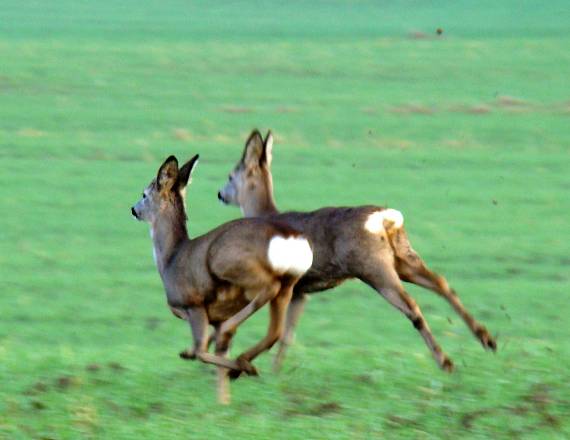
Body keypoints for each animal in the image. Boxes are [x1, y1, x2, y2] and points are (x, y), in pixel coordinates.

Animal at [131, 154, 312, 402]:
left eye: (144, 194)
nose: (133, 209)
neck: (170, 259)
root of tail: (290, 237)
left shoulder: (194, 304)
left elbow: (202, 351)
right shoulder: (212, 315)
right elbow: (216, 361)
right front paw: (223, 402)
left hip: (228, 264)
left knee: (267, 289)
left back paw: (239, 356)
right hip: (290, 282)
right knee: (275, 330)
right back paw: (241, 359)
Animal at [215, 130, 494, 372]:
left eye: (230, 176)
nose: (220, 194)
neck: (265, 213)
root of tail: (385, 218)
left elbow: (280, 331)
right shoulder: (301, 291)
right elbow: (287, 334)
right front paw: (276, 371)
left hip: (373, 266)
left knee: (412, 305)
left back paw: (445, 361)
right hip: (403, 258)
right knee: (442, 283)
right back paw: (486, 339)